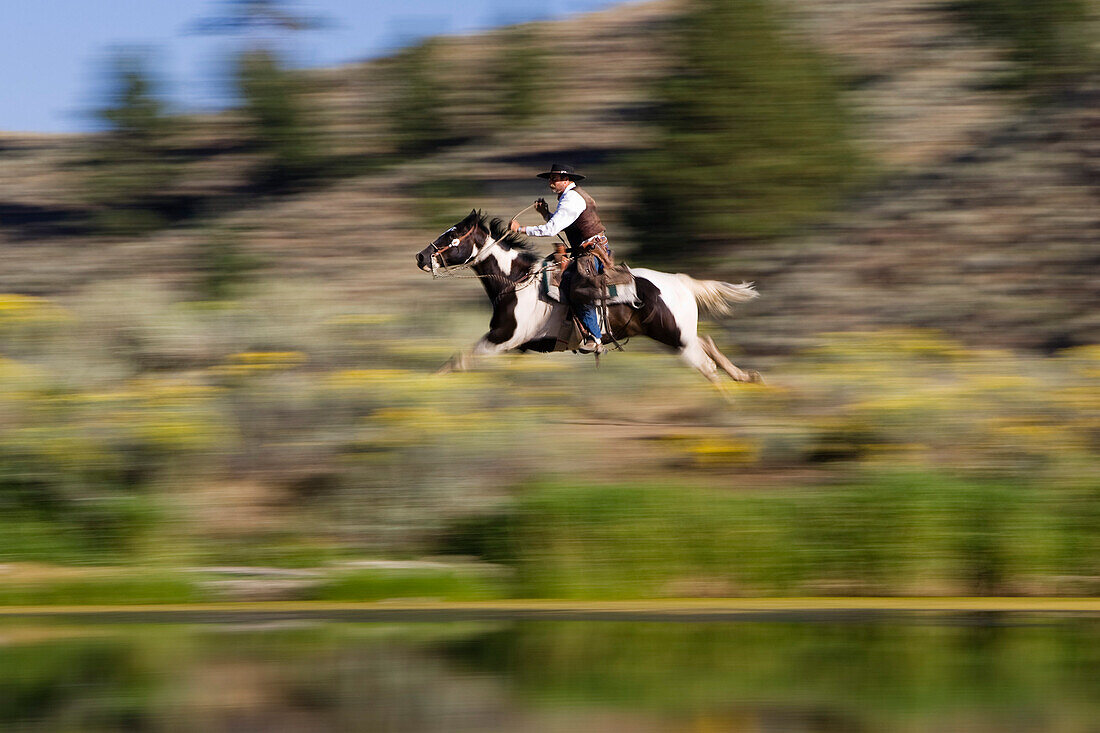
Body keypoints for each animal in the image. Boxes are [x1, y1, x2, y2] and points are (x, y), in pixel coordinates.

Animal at [413, 208, 765, 385]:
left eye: (453, 235)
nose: (420, 256)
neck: (516, 281)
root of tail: (681, 282)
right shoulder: (515, 345)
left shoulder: (502, 338)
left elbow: (459, 361)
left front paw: (429, 384)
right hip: (675, 335)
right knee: (707, 343)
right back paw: (746, 375)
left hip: (675, 338)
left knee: (706, 366)